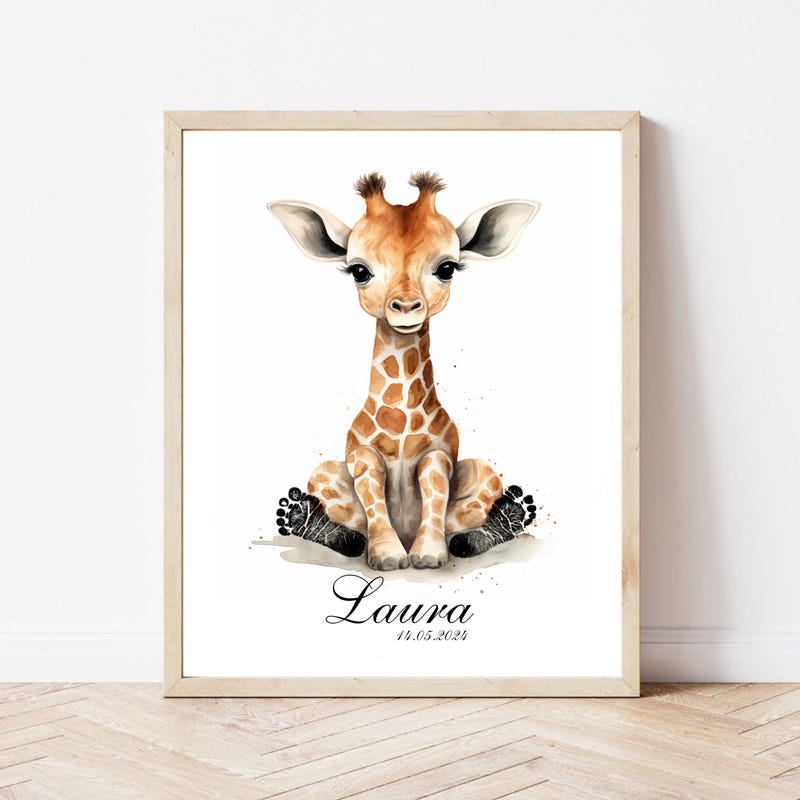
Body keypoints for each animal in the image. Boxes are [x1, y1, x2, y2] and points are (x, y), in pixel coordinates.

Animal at [270, 172, 539, 570]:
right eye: (359, 270)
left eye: (446, 268)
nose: (407, 307)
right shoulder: (361, 454)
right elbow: (371, 487)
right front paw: (387, 555)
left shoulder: (439, 454)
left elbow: (434, 485)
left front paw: (428, 553)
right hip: (324, 472)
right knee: (346, 517)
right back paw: (306, 520)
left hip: (483, 471)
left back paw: (506, 518)